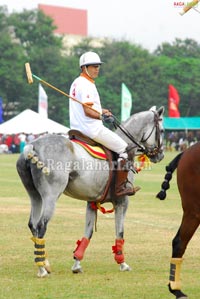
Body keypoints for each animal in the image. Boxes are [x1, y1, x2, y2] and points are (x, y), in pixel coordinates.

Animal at [16, 106, 164, 278]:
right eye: (162, 129)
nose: (161, 155)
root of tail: (32, 146)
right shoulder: (122, 201)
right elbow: (119, 232)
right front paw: (123, 263)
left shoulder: (92, 202)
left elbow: (88, 233)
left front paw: (77, 264)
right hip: (51, 196)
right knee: (41, 225)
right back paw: (41, 269)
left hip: (35, 195)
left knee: (32, 224)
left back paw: (45, 263)